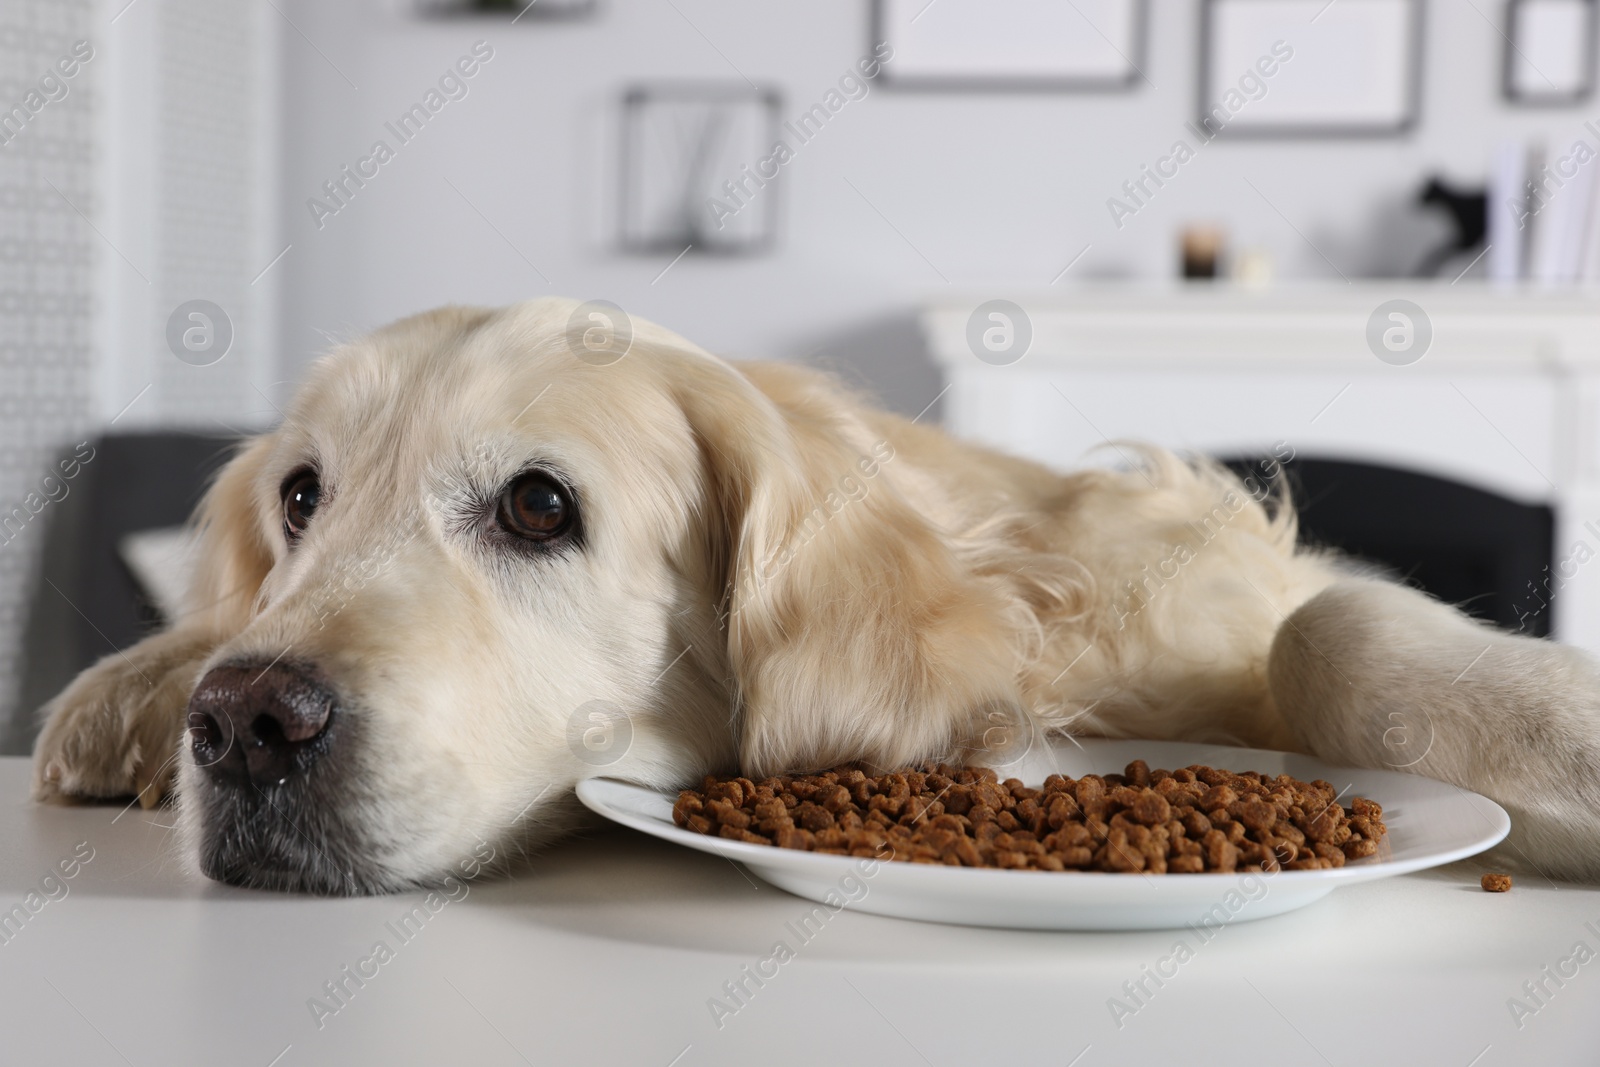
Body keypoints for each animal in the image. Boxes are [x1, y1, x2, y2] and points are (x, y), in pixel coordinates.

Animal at [25, 295, 1600, 889]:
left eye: (540, 505)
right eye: (301, 496)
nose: (244, 726)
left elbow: (1333, 617)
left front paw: (1564, 733)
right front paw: (139, 684)